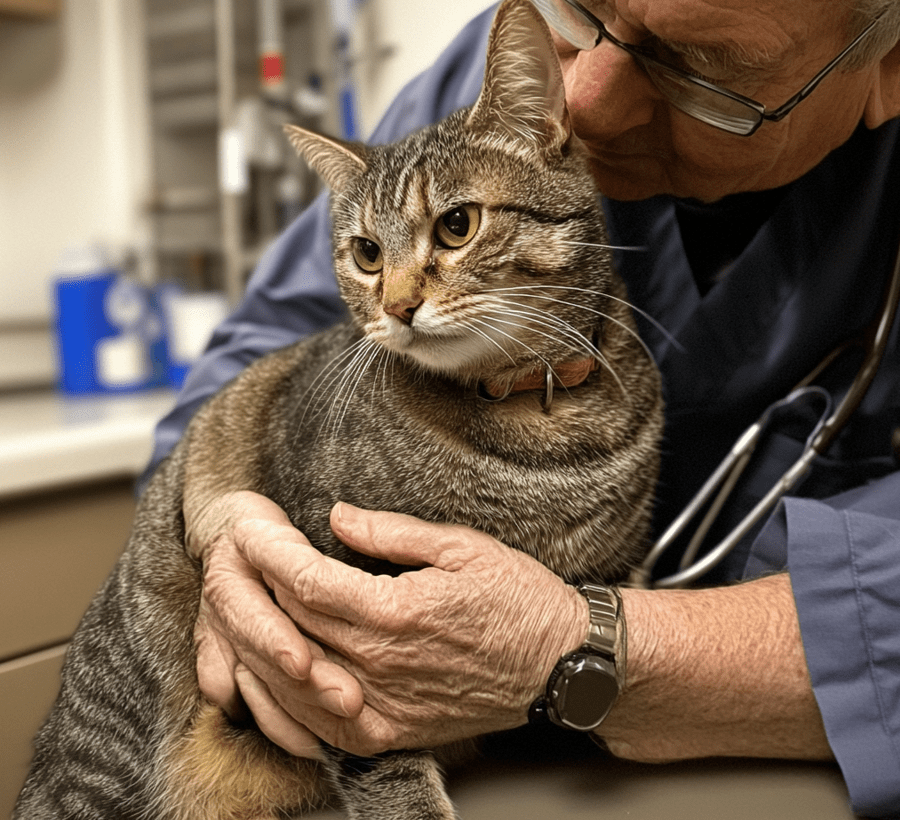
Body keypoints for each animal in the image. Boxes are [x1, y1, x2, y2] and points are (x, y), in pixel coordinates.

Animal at [12, 1, 660, 820]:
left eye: (457, 225)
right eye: (367, 254)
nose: (398, 306)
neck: (528, 419)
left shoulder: (613, 563)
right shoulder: (348, 623)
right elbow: (382, 757)